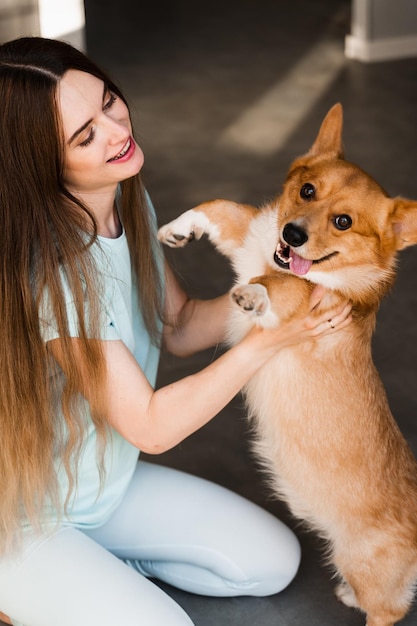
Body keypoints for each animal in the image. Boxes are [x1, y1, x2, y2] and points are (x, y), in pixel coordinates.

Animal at [158, 103, 416, 624]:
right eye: (307, 190)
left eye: (343, 221)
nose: (291, 234)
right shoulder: (248, 236)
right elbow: (222, 208)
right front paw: (178, 228)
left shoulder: (305, 298)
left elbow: (281, 285)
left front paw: (253, 293)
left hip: (366, 567)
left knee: (390, 609)